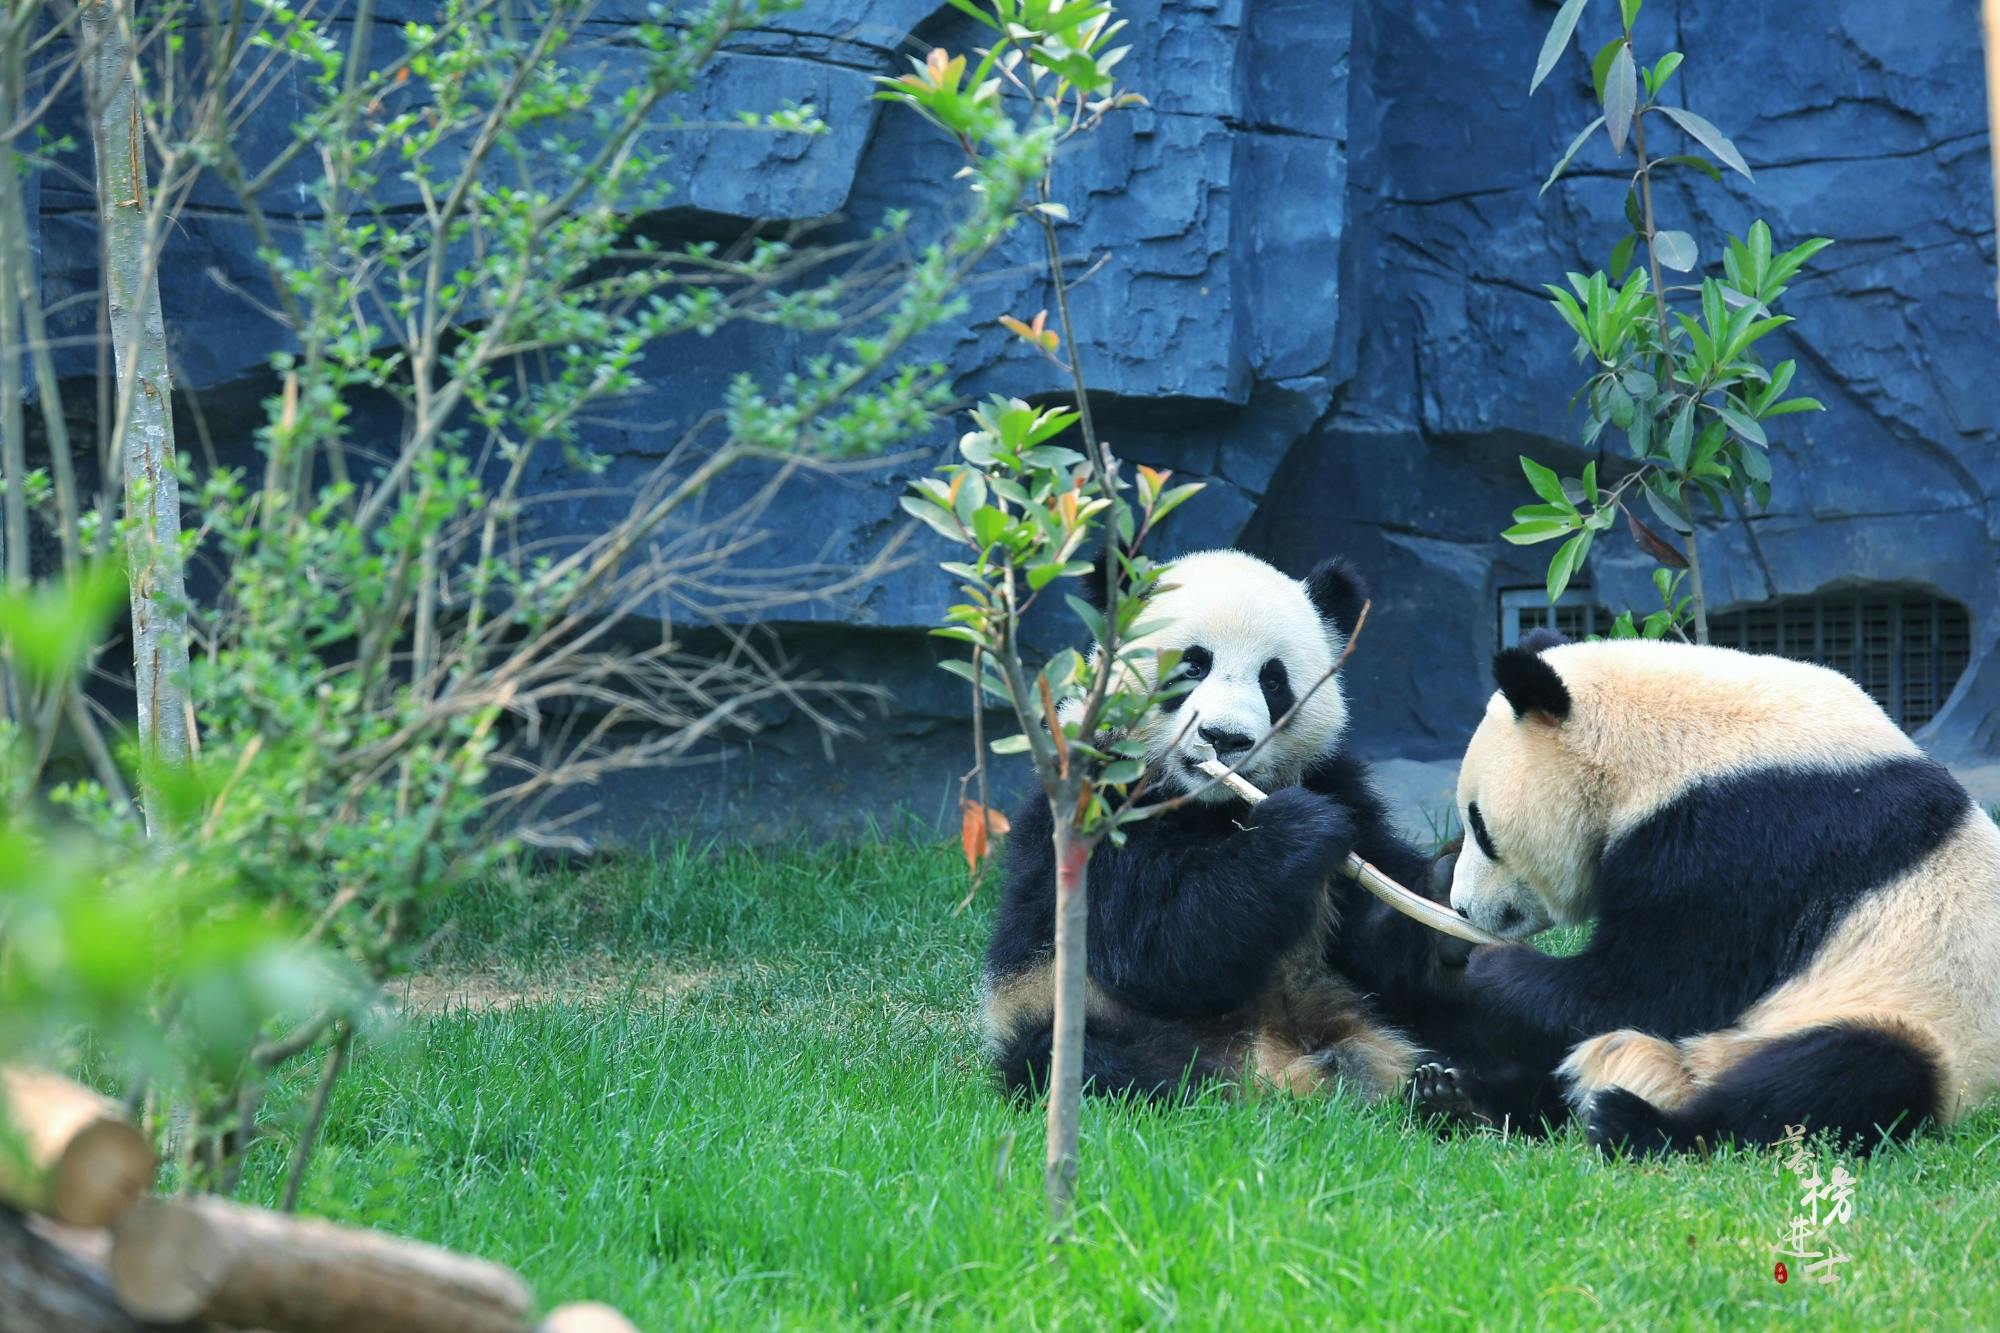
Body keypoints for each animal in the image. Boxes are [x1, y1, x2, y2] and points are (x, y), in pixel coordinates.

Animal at [984, 544, 1528, 1104]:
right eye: (1191, 667)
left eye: (1272, 680)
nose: (1225, 738)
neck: (1211, 803)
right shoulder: (1096, 801)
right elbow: (1153, 941)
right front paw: (1300, 828)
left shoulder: (1336, 780)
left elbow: (1370, 940)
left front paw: (1440, 892)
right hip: (1068, 1010)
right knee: (1087, 1062)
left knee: (1502, 1019)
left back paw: (1453, 1093)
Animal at [1432, 632, 2000, 1152]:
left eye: (1480, 826)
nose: (1464, 907)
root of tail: (1694, 1071)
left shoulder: (1751, 836)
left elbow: (1653, 986)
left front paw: (1488, 964)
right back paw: (1463, 1099)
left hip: (1921, 1026)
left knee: (1844, 1076)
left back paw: (1636, 1124)